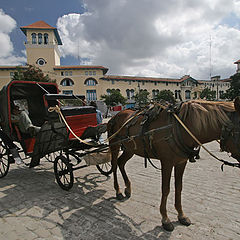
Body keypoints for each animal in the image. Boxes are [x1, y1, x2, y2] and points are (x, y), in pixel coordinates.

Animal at [108, 97, 240, 231]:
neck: (179, 127)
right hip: (114, 145)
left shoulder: (181, 162)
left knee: (121, 163)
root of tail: (116, 115)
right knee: (114, 164)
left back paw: (127, 188)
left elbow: (178, 187)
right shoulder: (166, 162)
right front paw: (165, 219)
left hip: (130, 149)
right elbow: (165, 189)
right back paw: (118, 191)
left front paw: (181, 215)